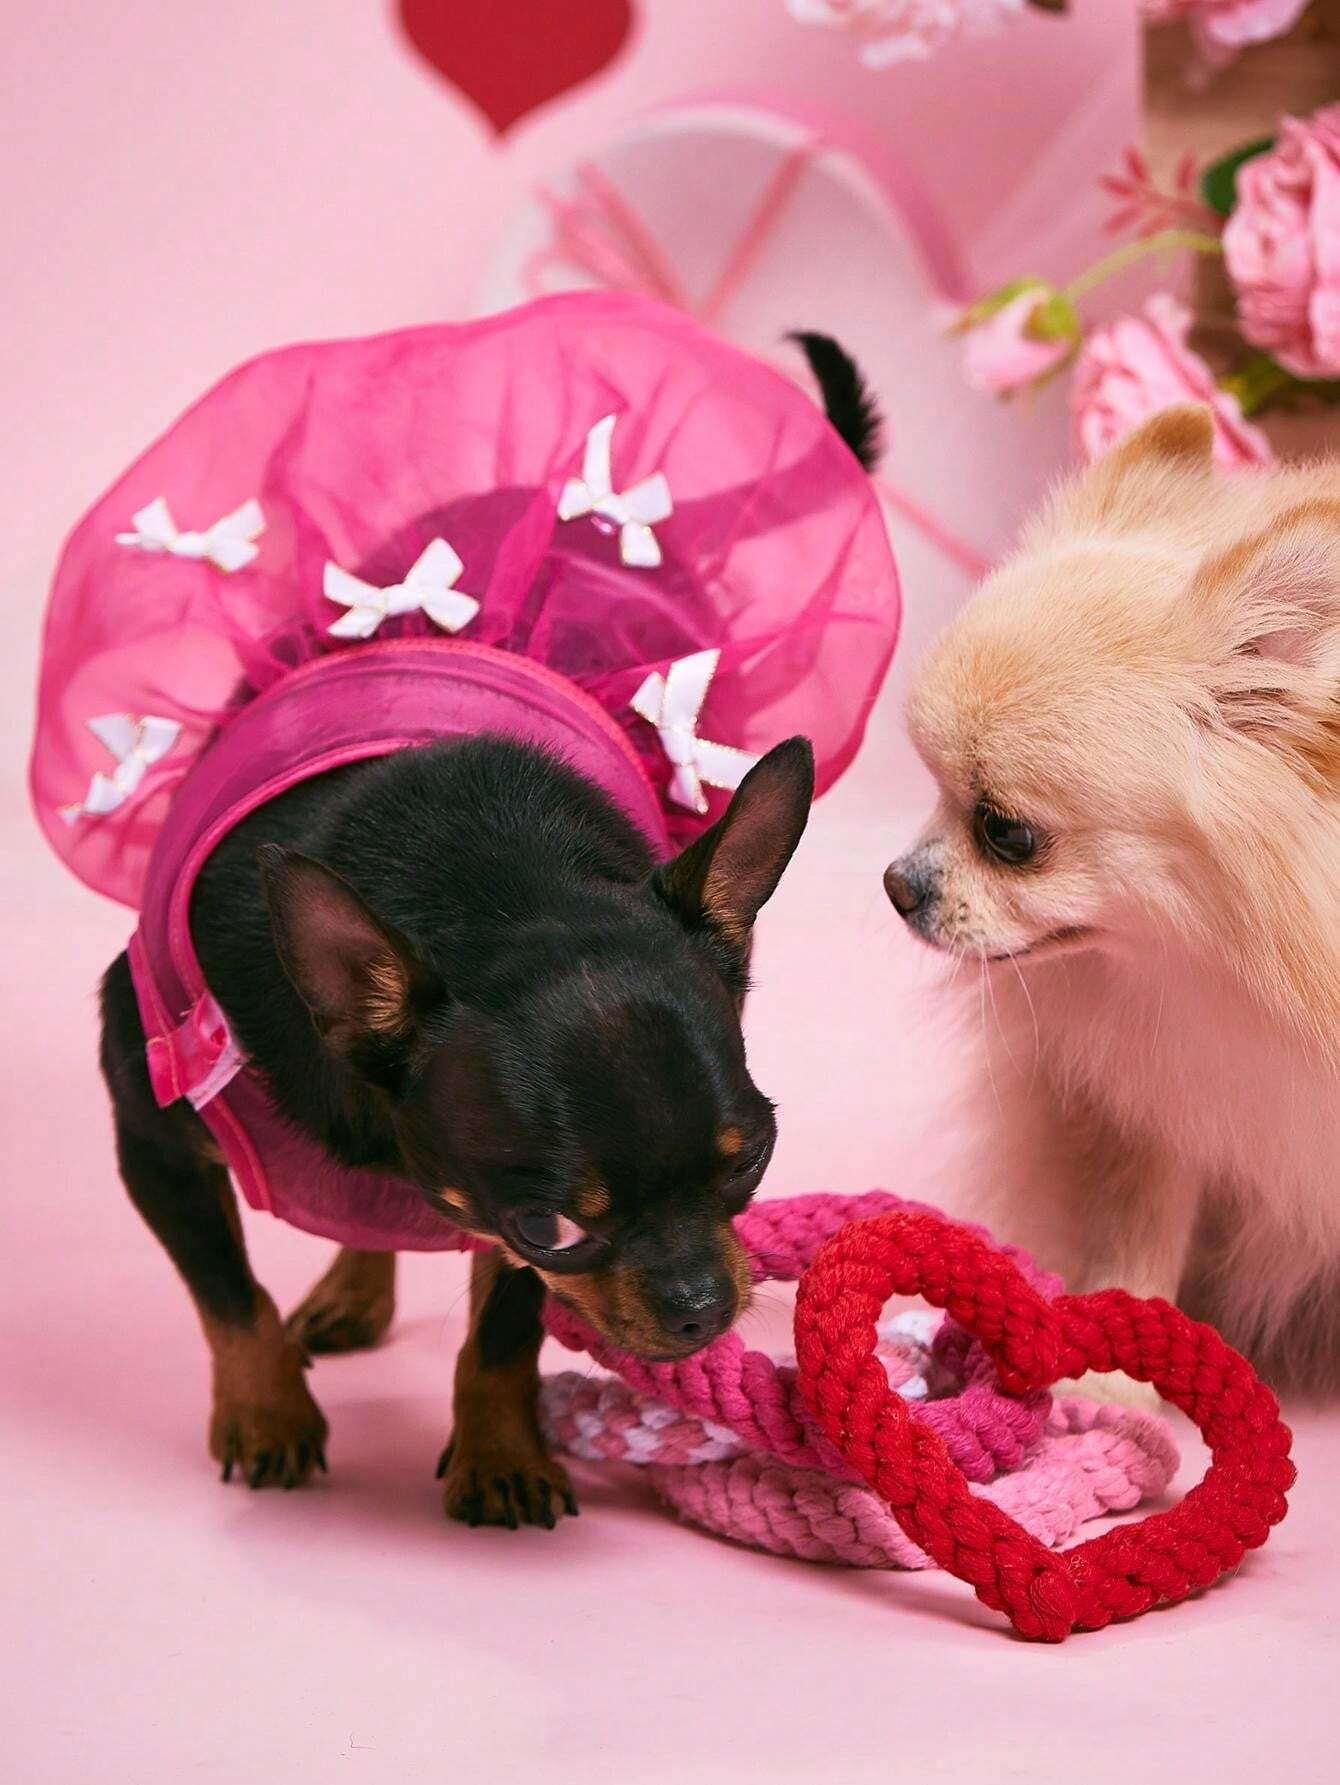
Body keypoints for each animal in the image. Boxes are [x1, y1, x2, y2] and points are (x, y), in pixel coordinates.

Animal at [886, 404, 1340, 1386]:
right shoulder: (1165, 1106)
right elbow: (1141, 1228)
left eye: (1006, 833)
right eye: (930, 790)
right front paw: (1120, 1385)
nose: (897, 884)